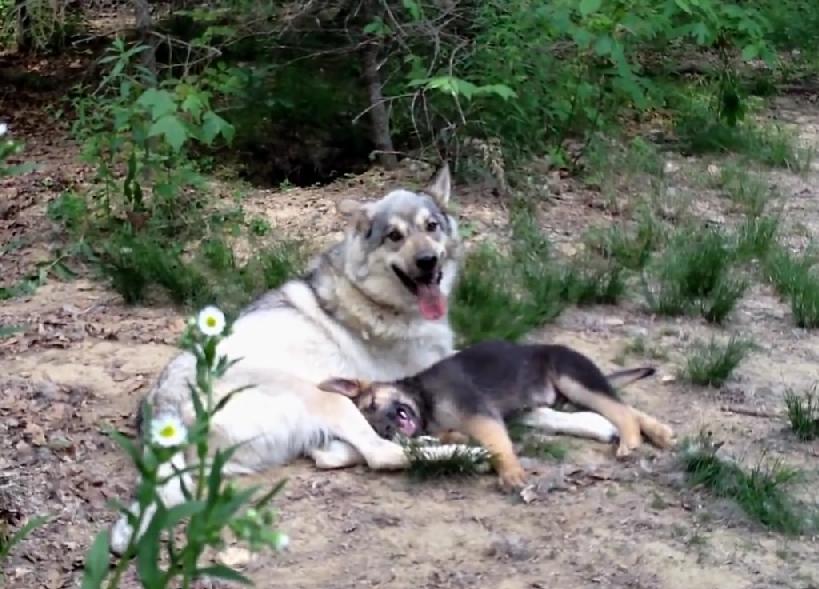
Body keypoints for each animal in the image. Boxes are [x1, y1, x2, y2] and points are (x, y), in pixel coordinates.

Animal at [105, 164, 624, 552]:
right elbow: (517, 411)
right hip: (324, 398)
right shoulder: (437, 379)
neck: (382, 304)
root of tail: (162, 417)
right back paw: (464, 452)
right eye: (394, 236)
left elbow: (532, 409)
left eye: (431, 228)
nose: (428, 263)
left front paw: (593, 422)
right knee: (382, 453)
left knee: (346, 452)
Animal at [318, 338, 676, 490]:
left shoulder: (479, 413)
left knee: (619, 408)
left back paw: (632, 439)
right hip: (556, 402)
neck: (422, 397)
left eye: (372, 405)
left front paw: (511, 472)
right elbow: (454, 436)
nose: (388, 428)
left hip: (572, 379)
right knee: (619, 406)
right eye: (373, 423)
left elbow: (496, 444)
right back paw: (658, 432)